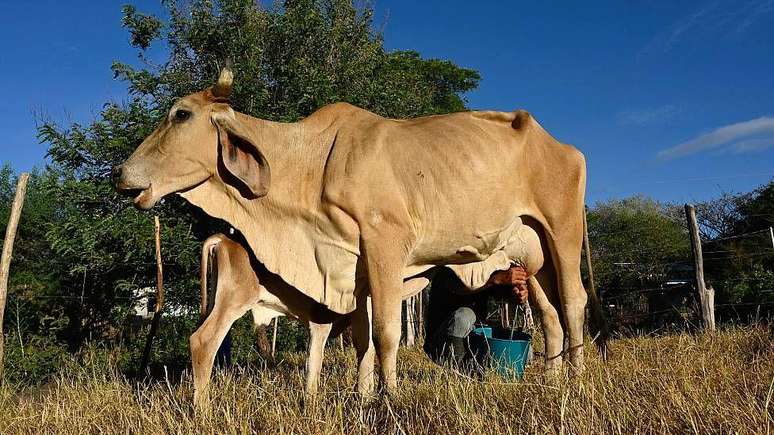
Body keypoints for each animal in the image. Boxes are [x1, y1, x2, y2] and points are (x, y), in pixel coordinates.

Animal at [115, 67, 605, 395]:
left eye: (181, 114)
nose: (121, 174)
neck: (313, 164)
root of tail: (564, 147)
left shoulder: (385, 242)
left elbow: (386, 332)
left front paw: (389, 399)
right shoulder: (356, 268)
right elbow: (361, 339)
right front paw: (364, 397)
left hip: (562, 230)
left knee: (573, 302)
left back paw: (578, 381)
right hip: (531, 255)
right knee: (549, 316)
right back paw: (552, 380)